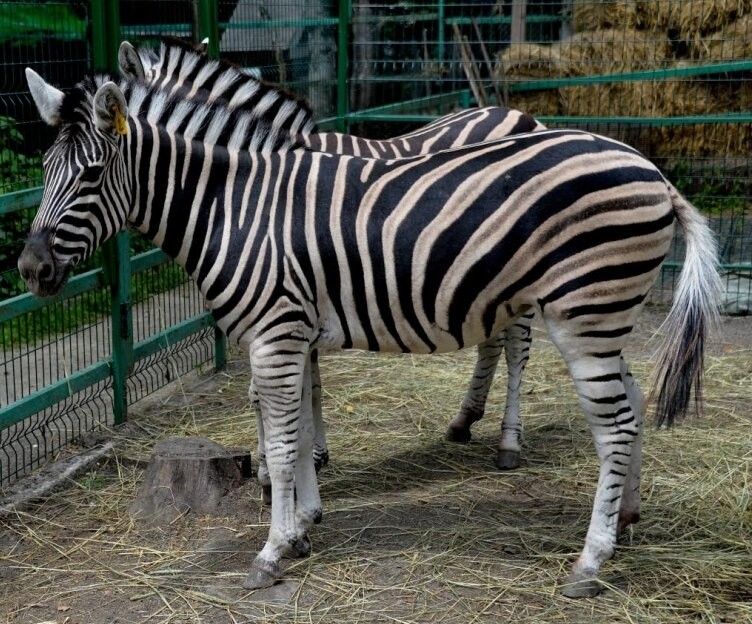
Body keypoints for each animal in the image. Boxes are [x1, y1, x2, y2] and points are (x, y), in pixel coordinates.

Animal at [120, 37, 548, 482]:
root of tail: (520, 114)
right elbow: (306, 384)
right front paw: (311, 455)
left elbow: (267, 389)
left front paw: (274, 466)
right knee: (493, 342)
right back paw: (464, 419)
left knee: (517, 347)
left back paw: (509, 442)